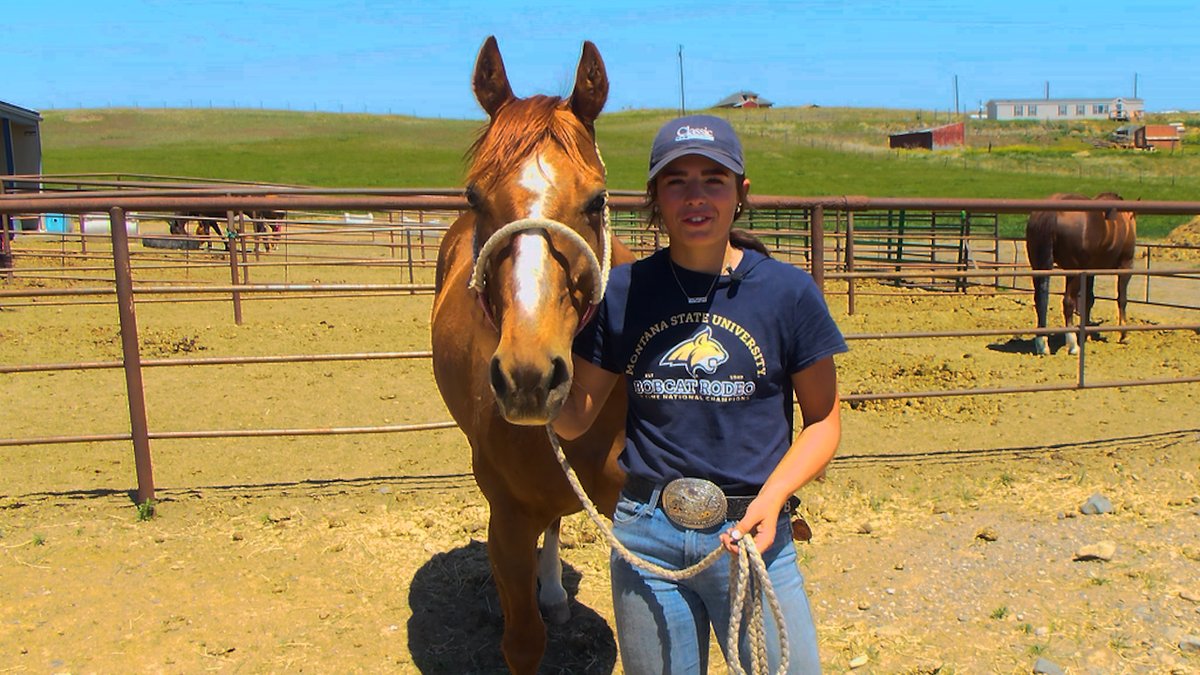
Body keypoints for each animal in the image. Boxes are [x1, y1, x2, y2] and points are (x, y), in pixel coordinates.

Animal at [1025, 192, 1137, 355]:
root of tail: (1050, 213)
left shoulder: (1090, 271)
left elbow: (1088, 300)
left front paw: (1087, 334)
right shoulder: (1125, 266)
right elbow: (1122, 299)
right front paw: (1124, 334)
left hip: (1039, 266)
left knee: (1040, 299)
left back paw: (1042, 343)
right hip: (1074, 272)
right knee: (1068, 302)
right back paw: (1072, 344)